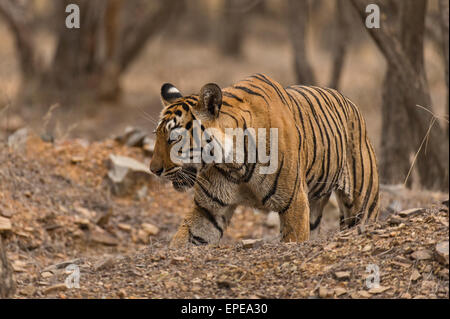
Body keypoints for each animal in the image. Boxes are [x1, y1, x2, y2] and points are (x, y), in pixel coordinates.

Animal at [149, 74, 378, 249]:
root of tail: (349, 101)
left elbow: (292, 238)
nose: (153, 170)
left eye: (174, 138)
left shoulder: (294, 202)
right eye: (157, 135)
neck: (233, 164)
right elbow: (185, 239)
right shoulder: (208, 209)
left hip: (361, 204)